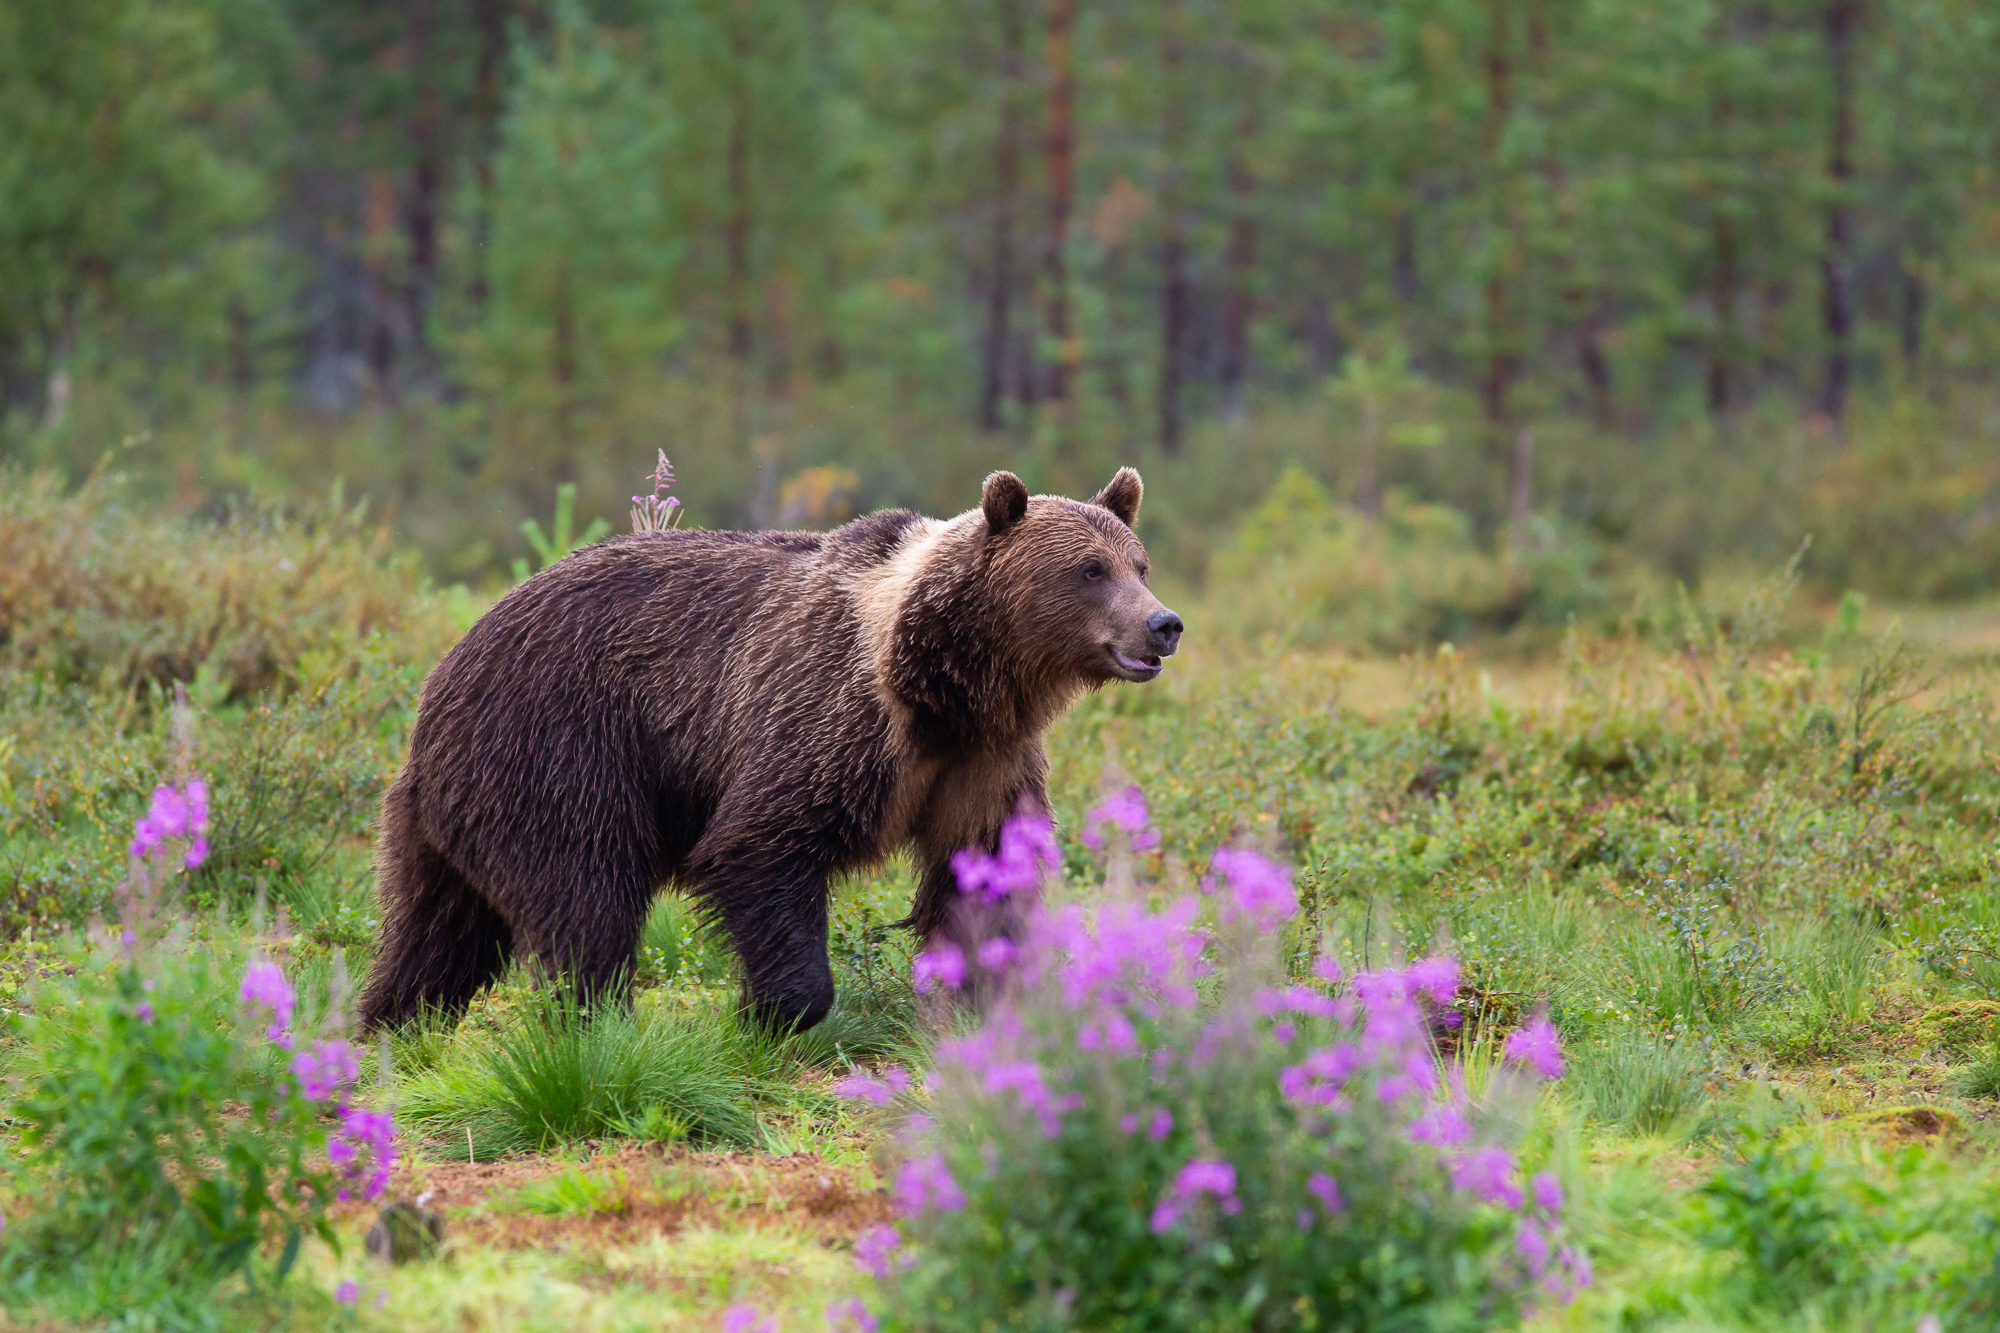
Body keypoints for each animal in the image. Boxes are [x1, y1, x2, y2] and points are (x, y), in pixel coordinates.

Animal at [355, 467, 1183, 1034]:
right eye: (1089, 569)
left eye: (1139, 563)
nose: (1163, 624)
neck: (942, 686)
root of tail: (441, 678)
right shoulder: (830, 716)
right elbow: (761, 843)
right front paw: (773, 1008)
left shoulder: (984, 761)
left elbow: (984, 873)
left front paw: (980, 996)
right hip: (560, 747)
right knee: (586, 893)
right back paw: (594, 1022)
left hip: (454, 808)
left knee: (439, 928)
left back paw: (394, 1022)